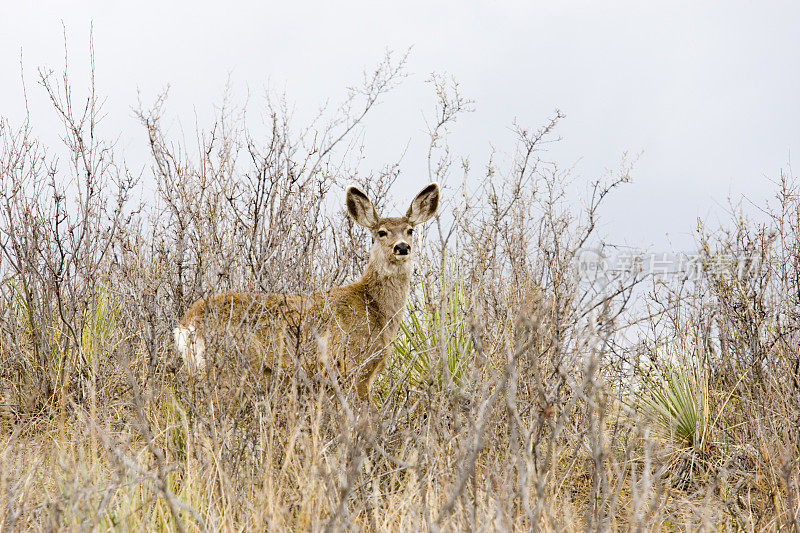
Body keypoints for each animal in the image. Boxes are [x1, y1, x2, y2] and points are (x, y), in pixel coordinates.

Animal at [172, 185, 440, 396]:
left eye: (410, 230)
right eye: (381, 232)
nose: (402, 247)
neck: (375, 309)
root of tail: (187, 324)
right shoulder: (352, 364)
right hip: (230, 367)